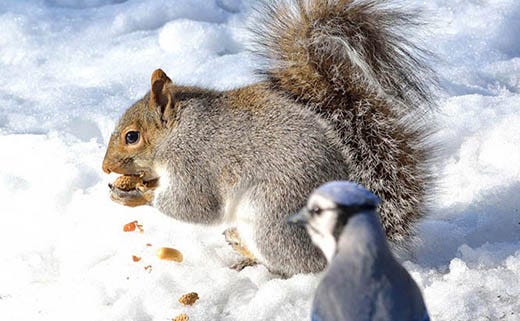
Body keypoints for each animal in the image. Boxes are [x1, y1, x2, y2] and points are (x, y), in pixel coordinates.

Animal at [100, 0, 434, 276]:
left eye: (132, 136)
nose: (105, 167)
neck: (177, 130)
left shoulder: (196, 160)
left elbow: (195, 205)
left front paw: (137, 194)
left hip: (271, 217)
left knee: (297, 265)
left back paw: (249, 253)